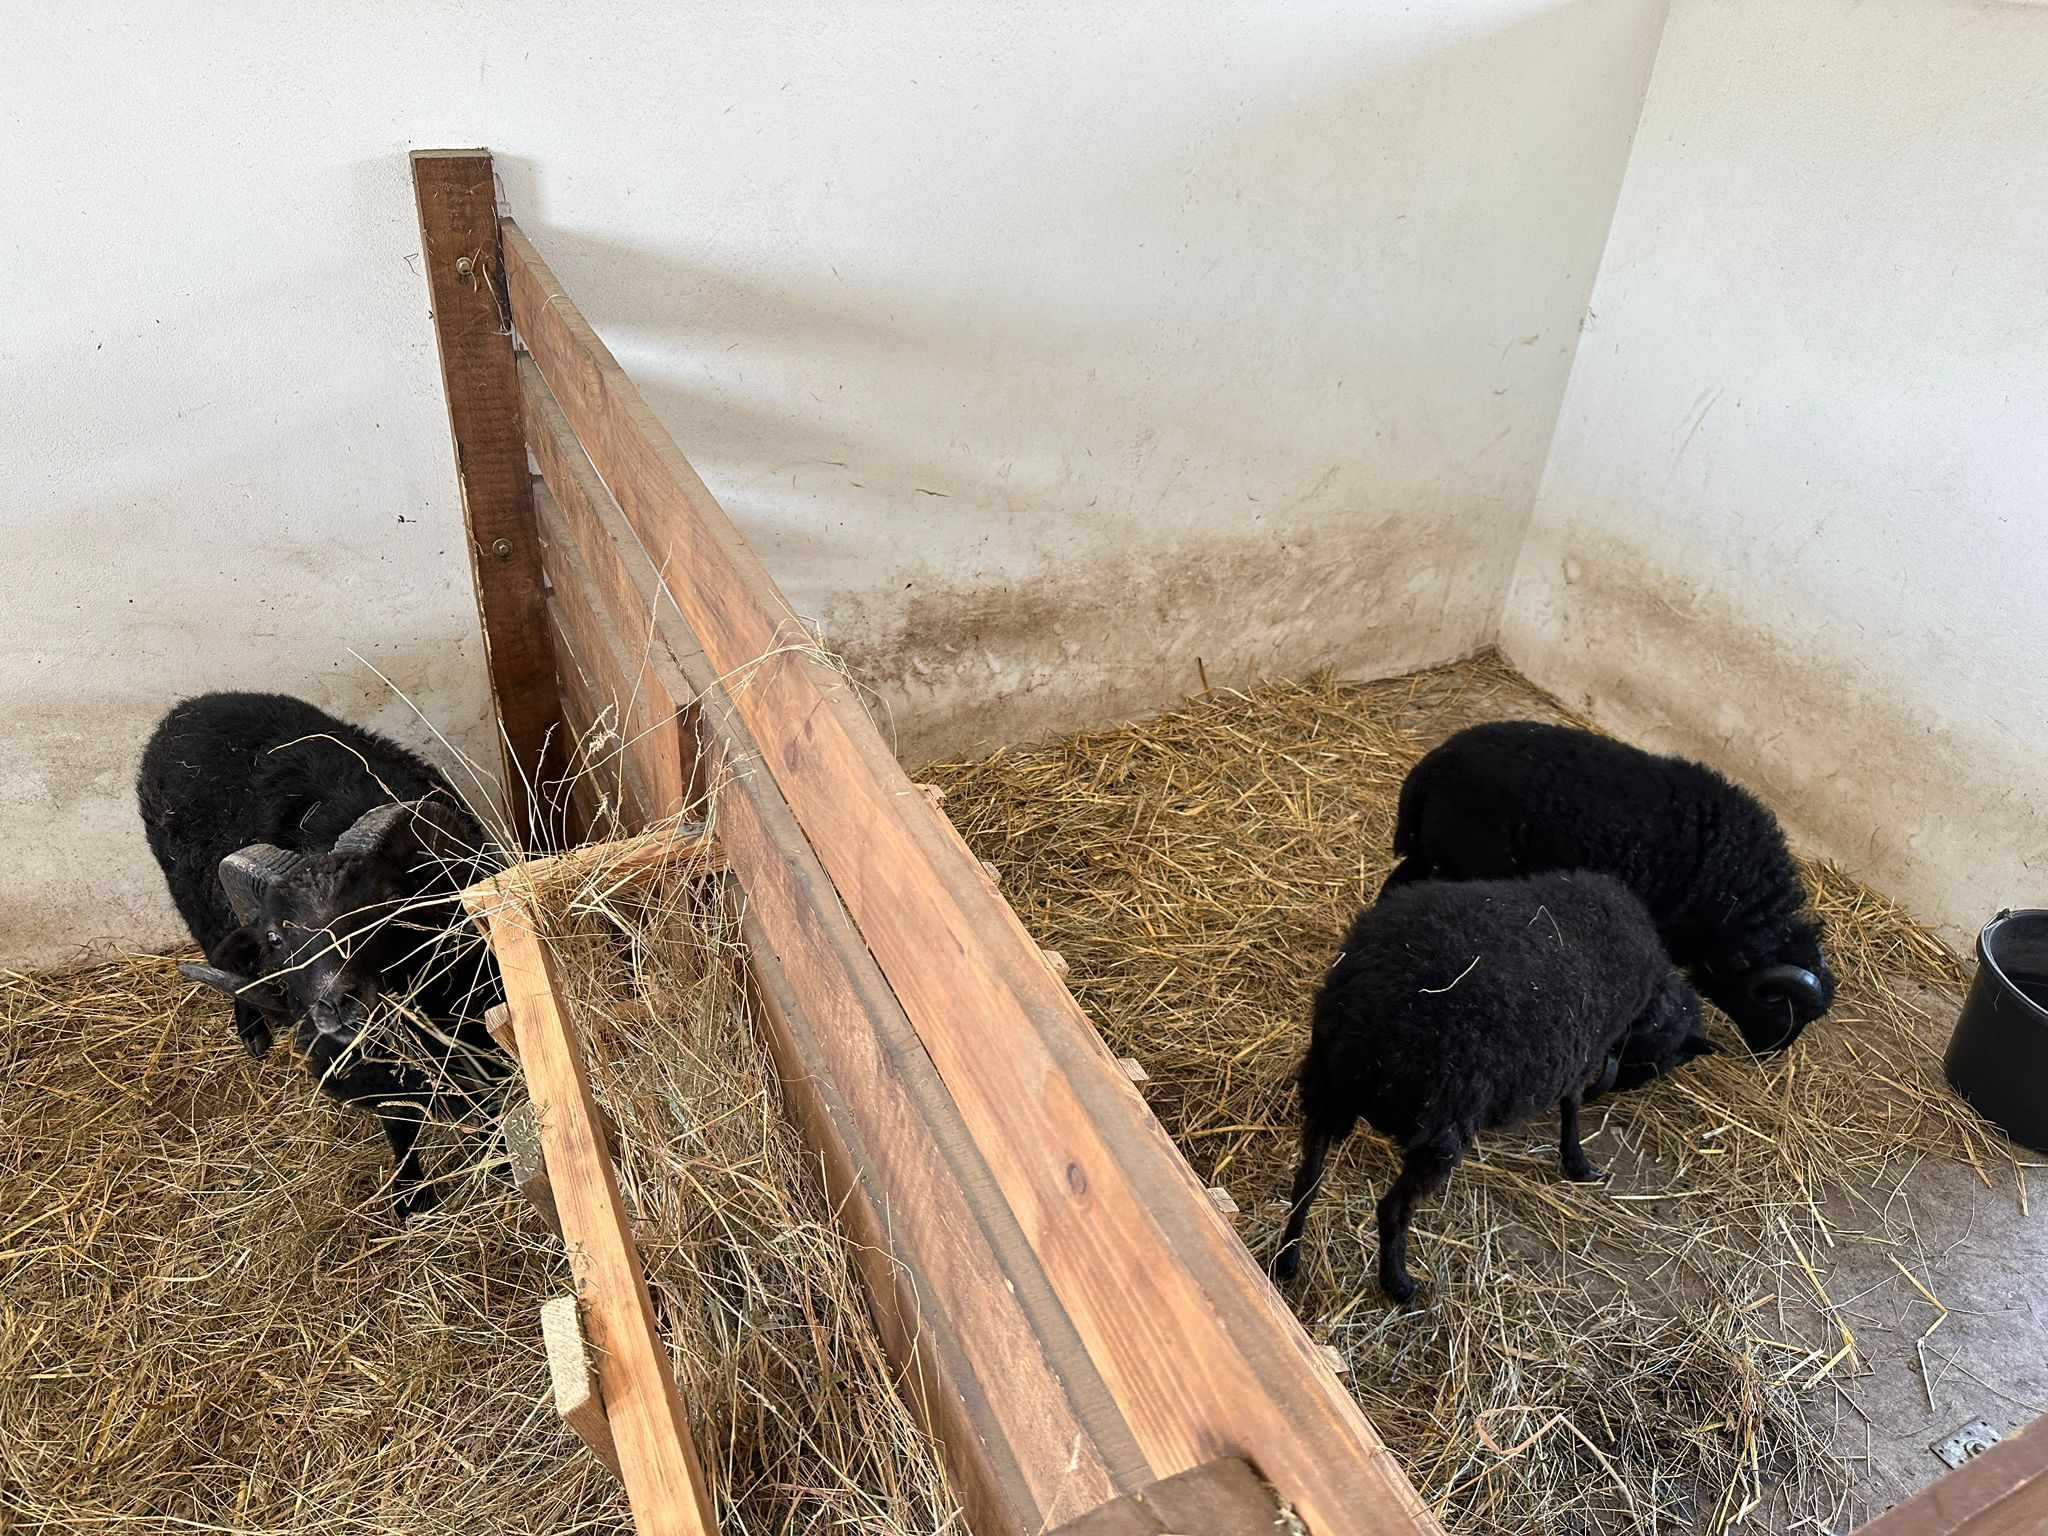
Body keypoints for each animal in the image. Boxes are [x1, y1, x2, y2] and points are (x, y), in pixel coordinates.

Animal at [138, 692, 507, 1217]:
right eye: (276, 938)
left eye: (387, 908)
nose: (338, 1006)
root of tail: (191, 705)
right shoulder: (363, 1066)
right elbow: (400, 1118)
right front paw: (410, 1197)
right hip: (200, 911)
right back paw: (253, 1033)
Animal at [1270, 870, 1711, 1301]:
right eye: (1664, 1060)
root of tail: (1366, 1015)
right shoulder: (1582, 1053)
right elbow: (1572, 1107)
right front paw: (1579, 1164)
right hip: (1440, 1127)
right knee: (1391, 1210)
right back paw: (1398, 1284)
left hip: (1326, 1086)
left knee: (1307, 1179)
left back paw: (1286, 1262)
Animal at [1381, 720, 1835, 1056]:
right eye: (1783, 1009)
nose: (1770, 1052)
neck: (1734, 901)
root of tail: (1430, 769)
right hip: (1462, 861)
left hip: (1432, 854)